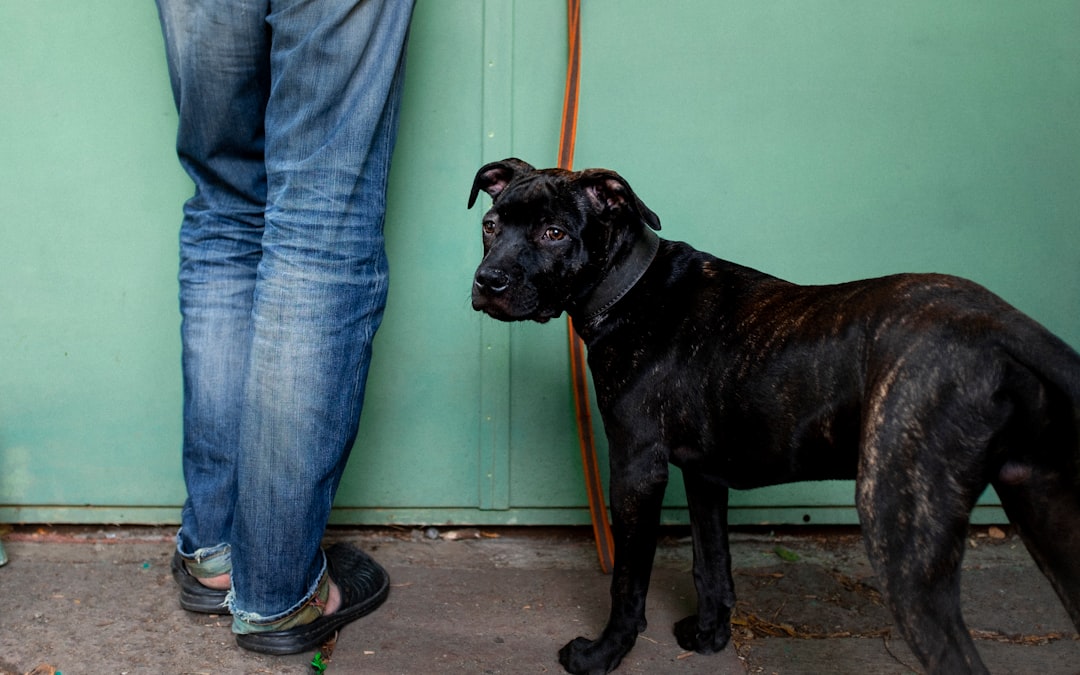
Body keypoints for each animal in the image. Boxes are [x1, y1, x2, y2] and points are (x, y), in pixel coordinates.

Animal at [466, 157, 1080, 673]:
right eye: (491, 226)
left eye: (554, 234)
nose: (487, 282)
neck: (630, 285)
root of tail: (1004, 327)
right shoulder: (703, 475)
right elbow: (712, 564)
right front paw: (710, 637)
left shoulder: (637, 468)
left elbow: (628, 578)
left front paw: (604, 654)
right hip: (1045, 513)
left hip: (902, 532)